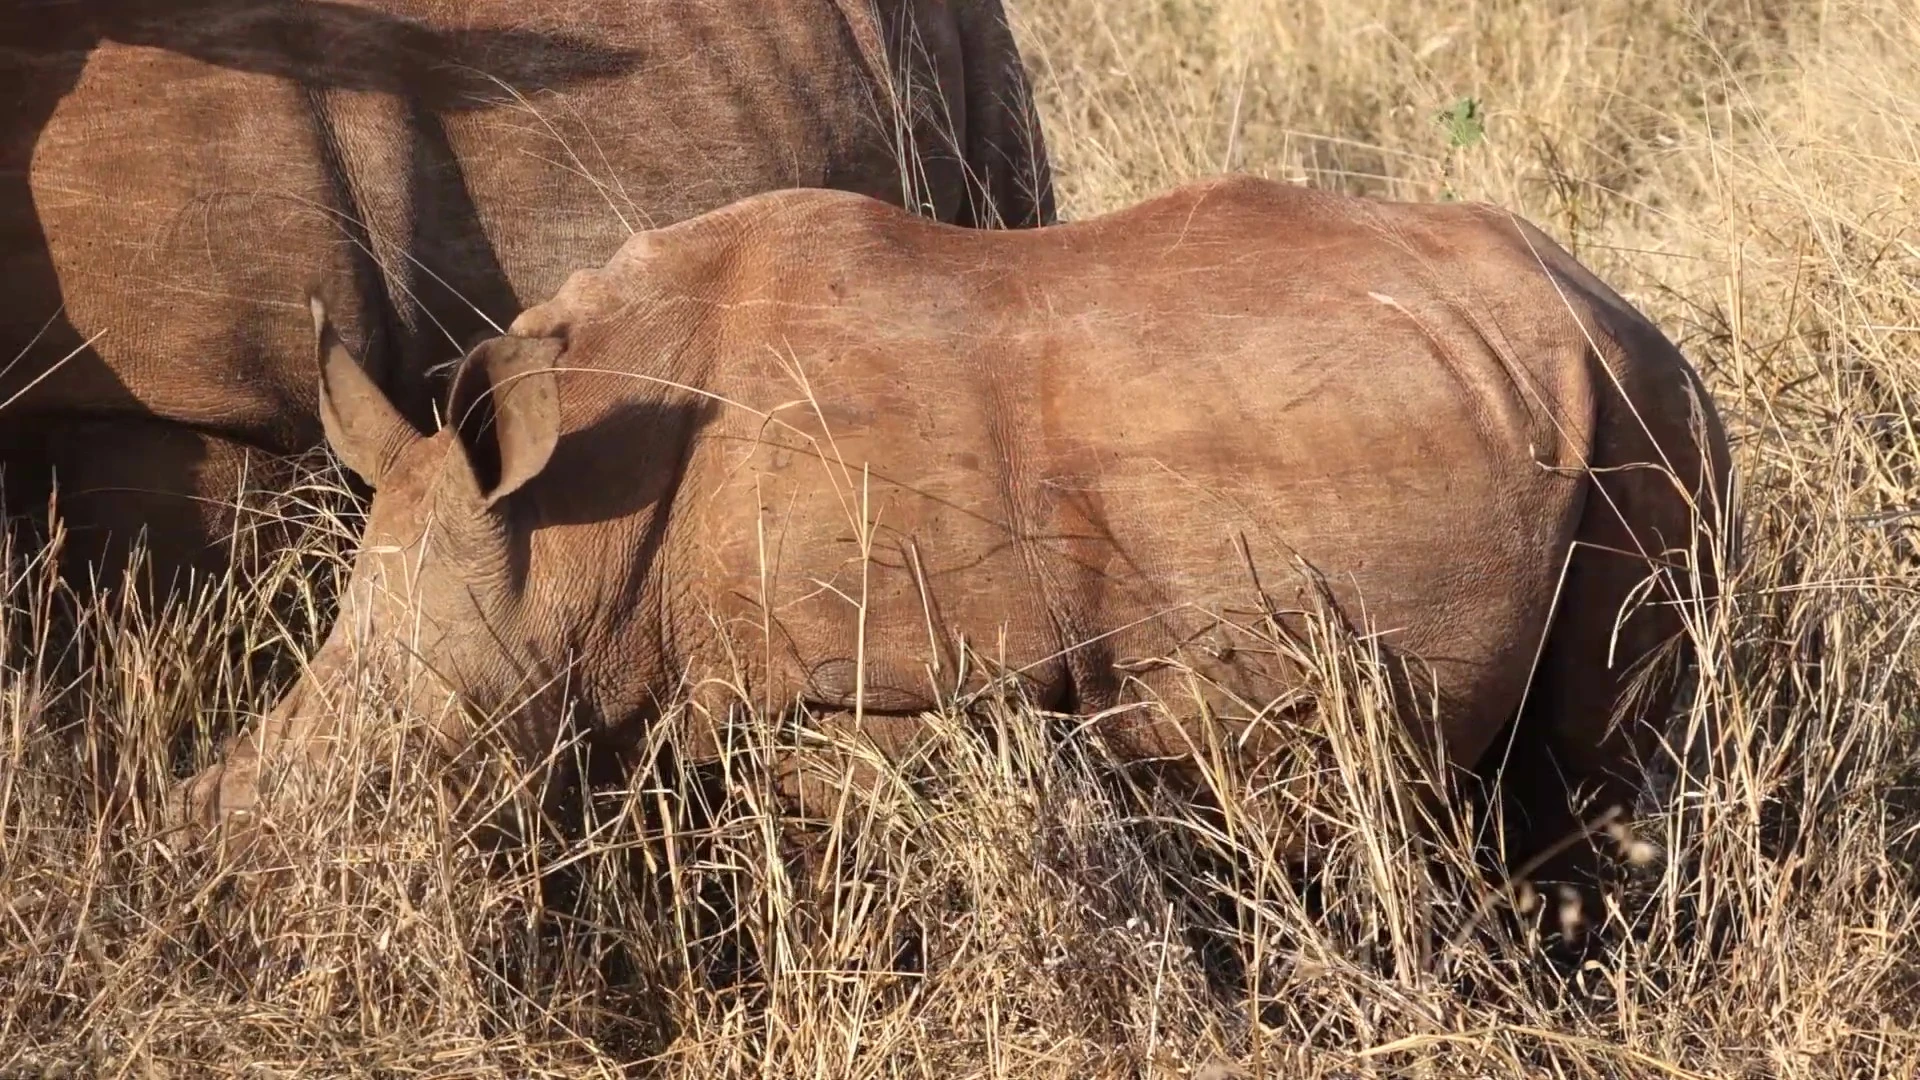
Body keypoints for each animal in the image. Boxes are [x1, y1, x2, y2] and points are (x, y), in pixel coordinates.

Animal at [178, 175, 1735, 898]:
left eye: (401, 767)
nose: (217, 864)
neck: (574, 543)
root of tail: (1606, 302)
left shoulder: (882, 687)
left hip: (1648, 420)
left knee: (1604, 764)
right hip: (1563, 401)